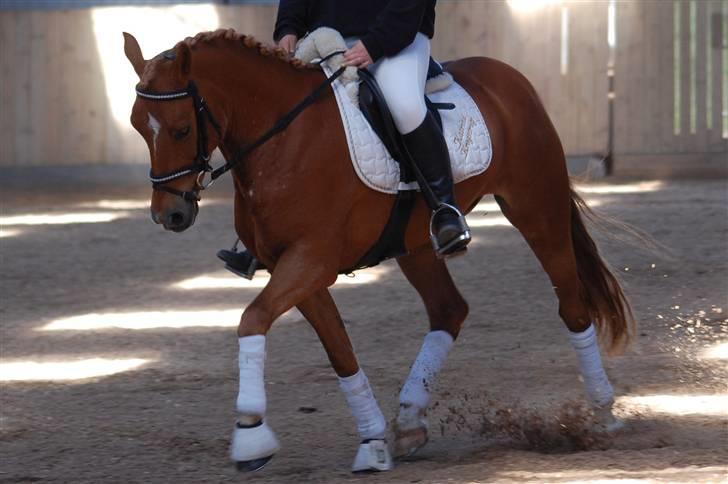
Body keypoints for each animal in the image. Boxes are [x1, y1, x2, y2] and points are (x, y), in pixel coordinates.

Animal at [123, 28, 634, 472]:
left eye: (181, 129)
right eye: (137, 127)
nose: (169, 215)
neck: (283, 139)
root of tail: (509, 77)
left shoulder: (312, 261)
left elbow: (252, 320)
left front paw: (250, 434)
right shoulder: (297, 271)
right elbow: (339, 352)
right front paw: (371, 442)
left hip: (536, 208)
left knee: (572, 305)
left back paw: (603, 415)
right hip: (416, 244)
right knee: (449, 309)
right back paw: (408, 420)